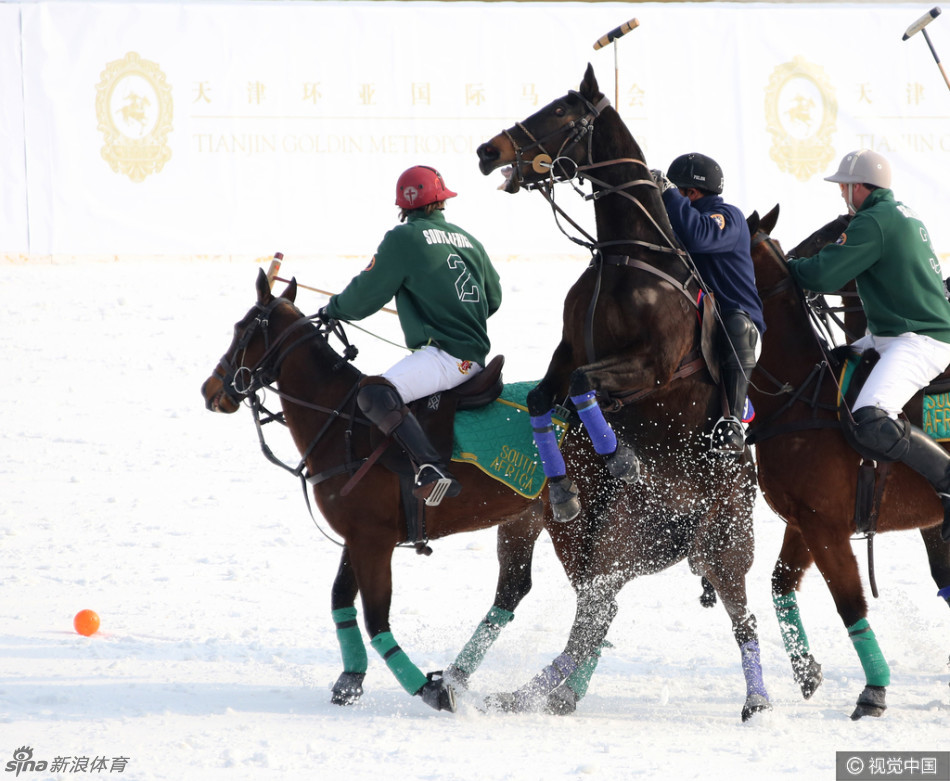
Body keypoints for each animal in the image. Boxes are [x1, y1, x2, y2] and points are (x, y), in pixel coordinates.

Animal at [199, 270, 552, 712]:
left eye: (241, 329)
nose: (210, 390)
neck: (338, 420)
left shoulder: (373, 539)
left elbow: (374, 617)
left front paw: (427, 689)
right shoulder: (357, 536)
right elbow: (340, 599)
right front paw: (350, 680)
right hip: (525, 519)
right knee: (514, 590)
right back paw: (464, 676)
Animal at [476, 64, 772, 724]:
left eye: (562, 112)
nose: (488, 151)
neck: (627, 255)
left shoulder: (650, 366)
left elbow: (586, 386)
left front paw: (623, 455)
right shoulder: (568, 352)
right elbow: (546, 400)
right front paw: (566, 486)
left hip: (726, 540)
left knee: (743, 617)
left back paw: (759, 699)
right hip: (616, 541)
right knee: (596, 609)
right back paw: (540, 693)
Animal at [748, 206, 950, 720]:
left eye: (833, 237)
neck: (802, 391)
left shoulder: (827, 526)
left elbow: (850, 604)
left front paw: (874, 692)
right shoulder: (803, 519)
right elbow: (780, 584)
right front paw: (807, 671)